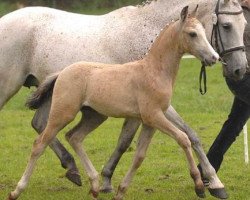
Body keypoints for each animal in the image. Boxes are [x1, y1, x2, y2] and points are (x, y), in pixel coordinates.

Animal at [8, 6, 218, 200]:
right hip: (62, 113)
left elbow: (139, 156)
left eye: (203, 30)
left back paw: (94, 185)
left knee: (74, 137)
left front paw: (120, 191)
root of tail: (62, 72)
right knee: (40, 143)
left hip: (95, 116)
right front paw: (199, 186)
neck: (153, 70)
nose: (214, 57)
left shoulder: (150, 122)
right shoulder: (154, 116)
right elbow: (183, 138)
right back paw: (17, 190)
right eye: (192, 33)